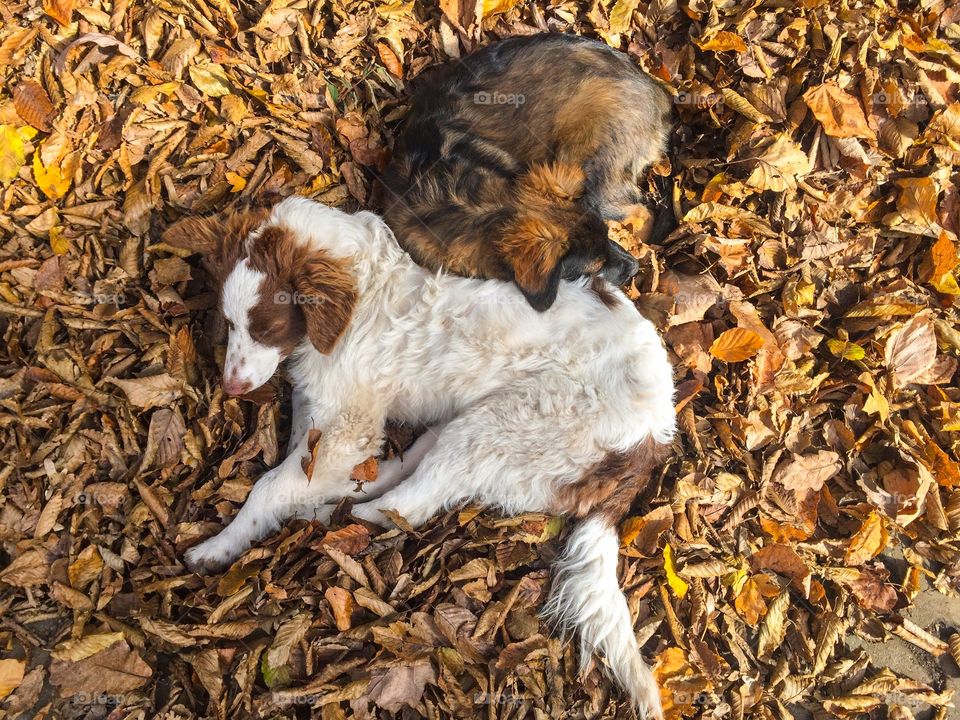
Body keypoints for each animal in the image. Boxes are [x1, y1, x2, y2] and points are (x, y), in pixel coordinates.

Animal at [165, 197, 676, 716]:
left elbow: (271, 485)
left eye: (266, 327)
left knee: (405, 506)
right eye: (230, 323)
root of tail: (654, 438)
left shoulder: (350, 425)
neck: (363, 291)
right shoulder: (326, 410)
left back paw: (331, 516)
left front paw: (218, 546)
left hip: (506, 422)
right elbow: (301, 457)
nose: (231, 387)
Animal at [378, 33, 672, 310]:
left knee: (642, 212)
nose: (634, 268)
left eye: (605, 236)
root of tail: (655, 91)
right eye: (594, 268)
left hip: (590, 169)